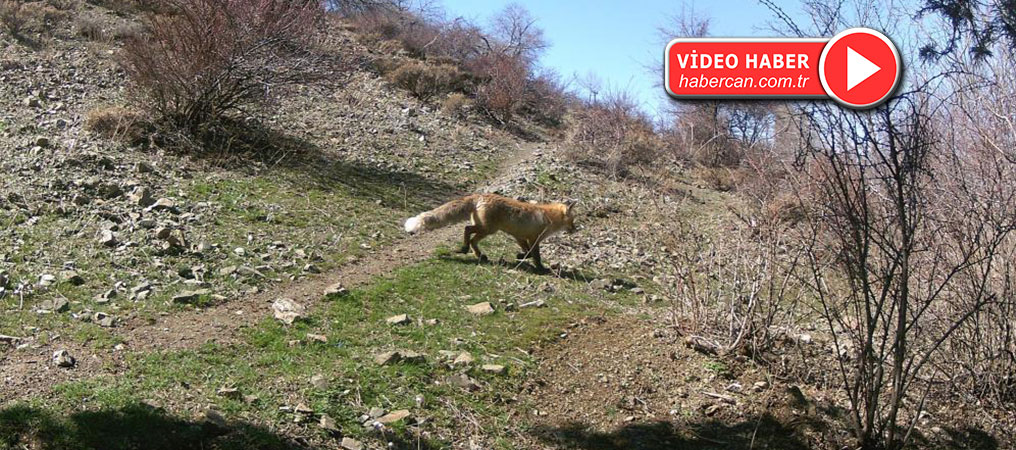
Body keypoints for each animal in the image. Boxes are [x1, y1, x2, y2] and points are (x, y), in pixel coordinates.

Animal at [406, 193, 581, 270]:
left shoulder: (519, 237)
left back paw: (478, 255)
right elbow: (535, 255)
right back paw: (464, 249)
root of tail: (479, 195)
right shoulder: (533, 239)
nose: (575, 230)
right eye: (573, 221)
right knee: (467, 230)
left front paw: (519, 256)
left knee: (472, 239)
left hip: (486, 230)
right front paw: (541, 268)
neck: (548, 217)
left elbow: (527, 253)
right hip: (488, 229)